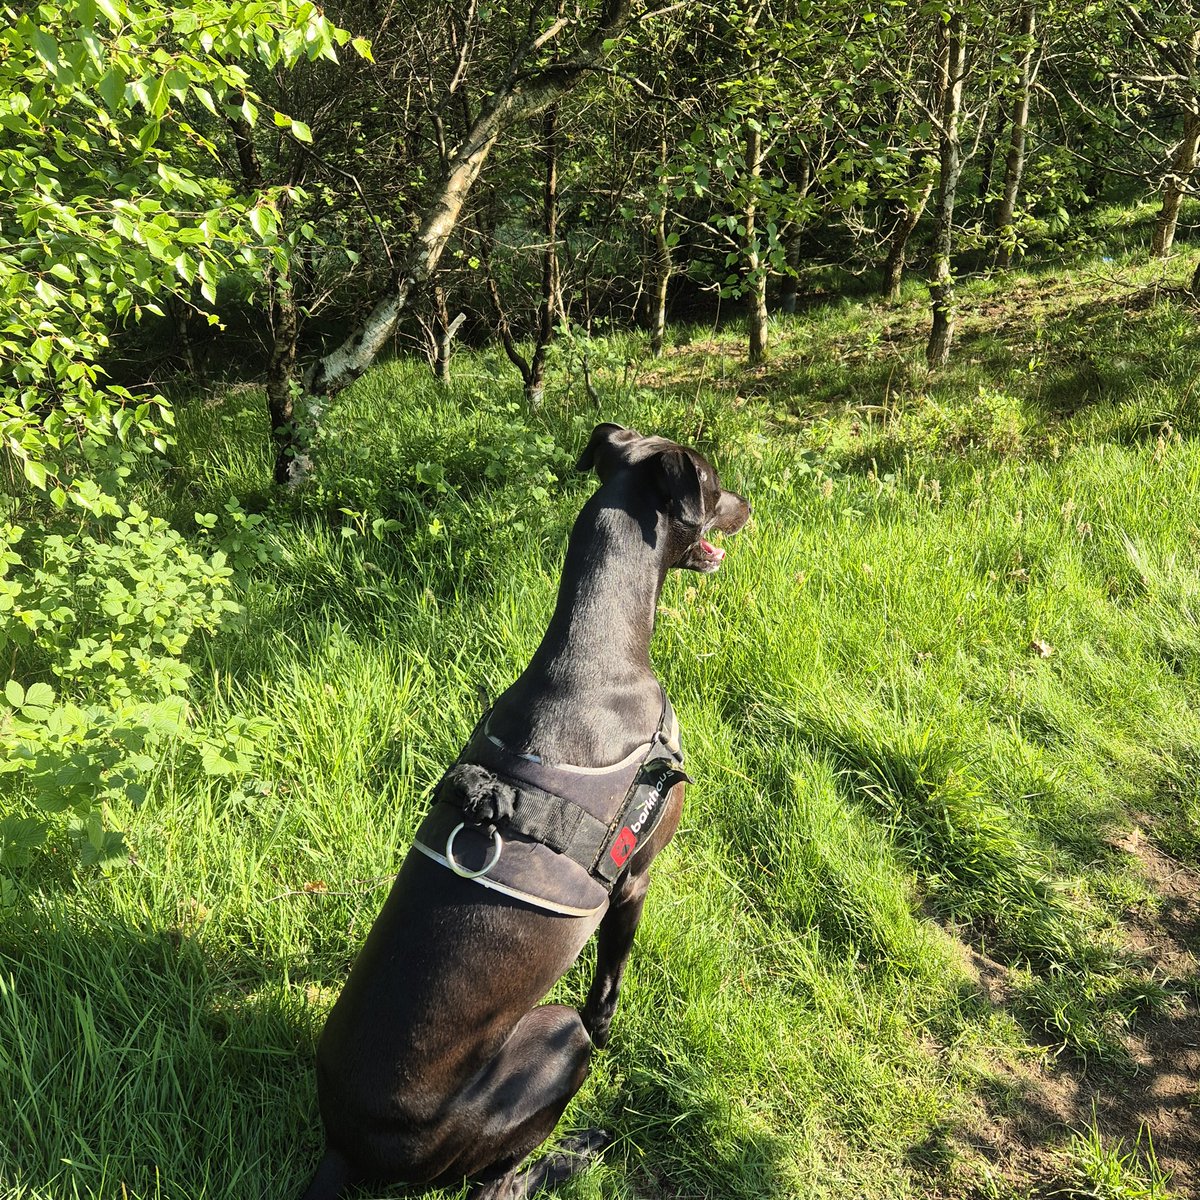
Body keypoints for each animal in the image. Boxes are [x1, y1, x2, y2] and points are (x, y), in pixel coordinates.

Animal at [300, 424, 748, 1200]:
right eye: (716, 485)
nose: (748, 505)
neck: (592, 657)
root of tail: (344, 1151)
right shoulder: (634, 879)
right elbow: (609, 982)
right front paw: (613, 1029)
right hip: (551, 1044)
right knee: (499, 1183)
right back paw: (578, 1151)